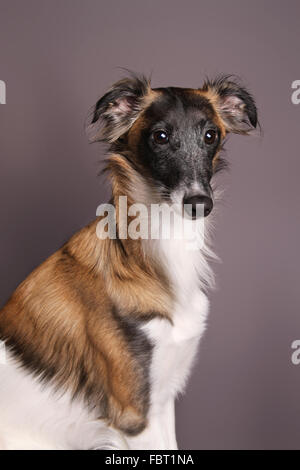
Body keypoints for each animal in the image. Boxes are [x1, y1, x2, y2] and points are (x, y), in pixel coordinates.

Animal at [0, 72, 258, 448]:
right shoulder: (134, 414)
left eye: (211, 135)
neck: (154, 261)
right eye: (160, 136)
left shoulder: (161, 397)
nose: (199, 203)